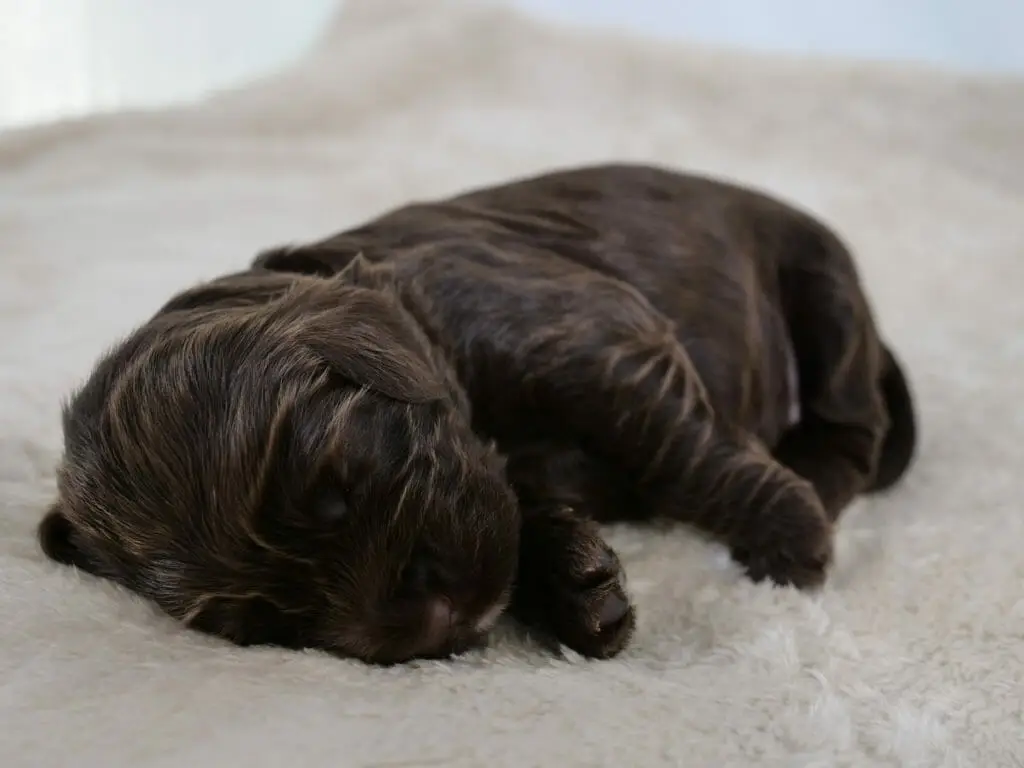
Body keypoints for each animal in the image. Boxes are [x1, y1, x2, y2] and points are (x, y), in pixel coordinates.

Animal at [37, 163, 921, 667]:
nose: (419, 618)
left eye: (332, 482)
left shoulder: (590, 338)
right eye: (265, 624)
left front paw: (783, 531)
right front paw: (578, 588)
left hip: (823, 286)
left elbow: (677, 450)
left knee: (854, 425)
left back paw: (807, 488)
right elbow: (529, 514)